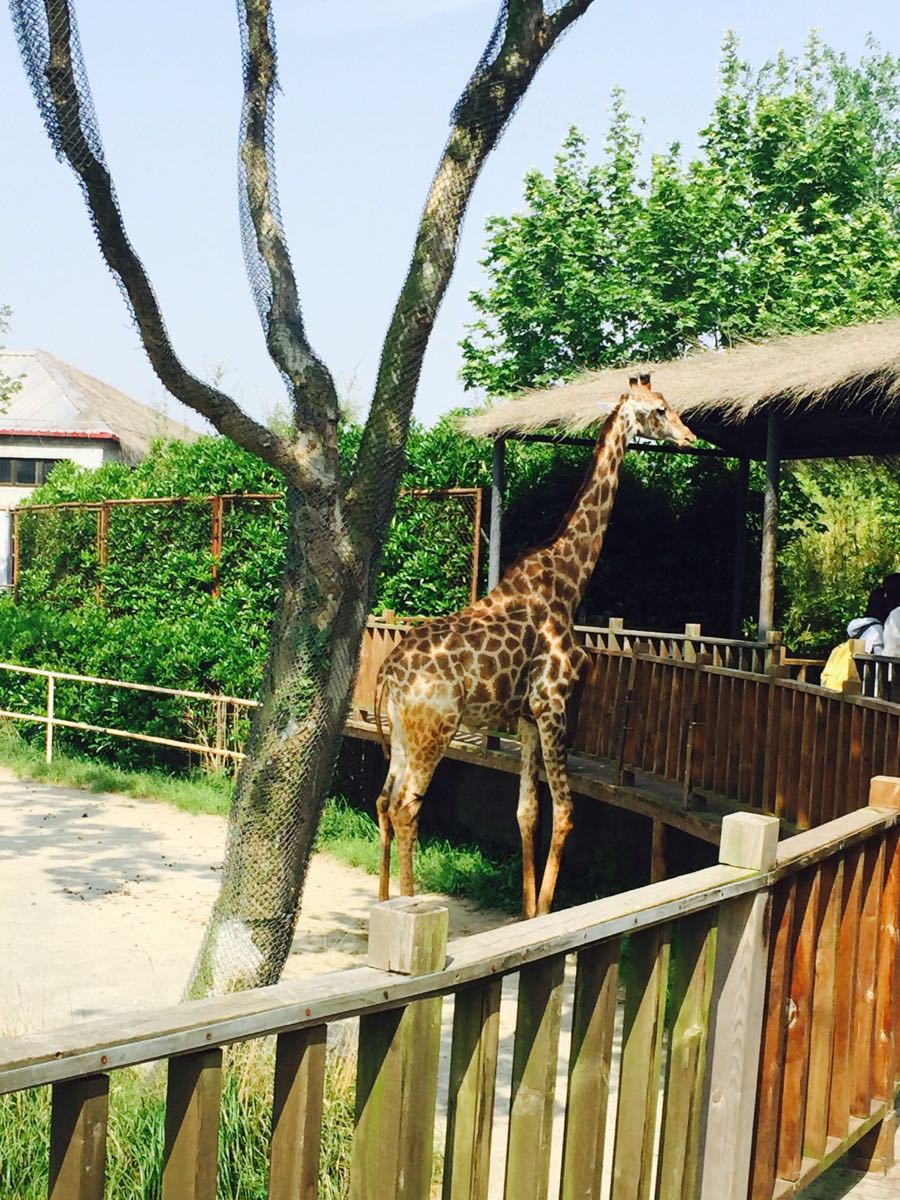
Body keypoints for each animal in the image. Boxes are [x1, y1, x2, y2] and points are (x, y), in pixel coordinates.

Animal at [374, 374, 696, 916]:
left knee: (382, 801)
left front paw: (526, 913)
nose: (690, 437)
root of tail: (387, 675)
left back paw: (376, 910)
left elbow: (526, 811)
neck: (569, 580)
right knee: (406, 809)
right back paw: (409, 908)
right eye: (659, 410)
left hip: (401, 734)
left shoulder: (526, 717)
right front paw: (544, 914)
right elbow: (564, 811)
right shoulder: (554, 704)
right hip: (433, 731)